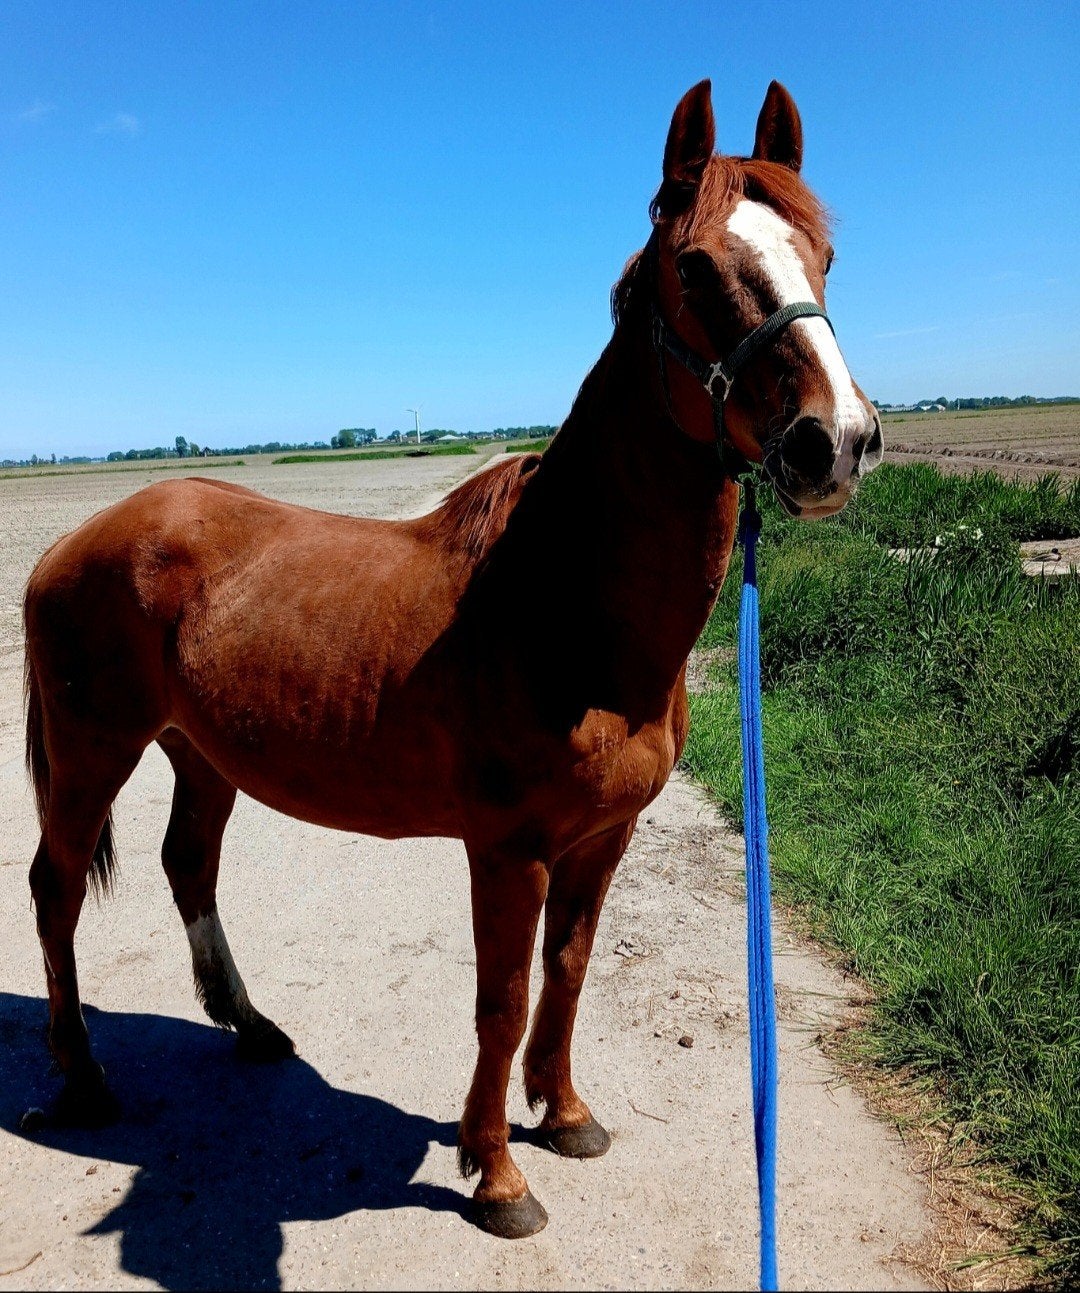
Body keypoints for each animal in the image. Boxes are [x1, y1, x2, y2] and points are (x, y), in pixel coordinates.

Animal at [22, 79, 882, 1239]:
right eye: (697, 266)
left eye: (825, 254)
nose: (835, 442)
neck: (568, 606)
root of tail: (79, 536)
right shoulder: (508, 849)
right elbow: (502, 997)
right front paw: (496, 1173)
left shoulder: (602, 840)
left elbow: (567, 974)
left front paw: (565, 1115)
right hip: (91, 749)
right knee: (57, 887)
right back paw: (82, 1077)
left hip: (198, 752)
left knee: (186, 865)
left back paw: (251, 1027)